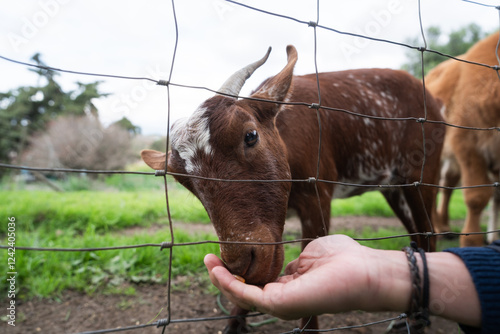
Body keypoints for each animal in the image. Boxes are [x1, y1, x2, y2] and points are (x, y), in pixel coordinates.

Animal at [141, 46, 442, 332]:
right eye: (183, 181)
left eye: (250, 136)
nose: (242, 264)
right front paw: (235, 321)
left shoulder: (317, 195)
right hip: (393, 186)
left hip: (422, 173)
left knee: (428, 230)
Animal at [426, 31, 500, 247]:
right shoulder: (467, 144)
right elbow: (478, 195)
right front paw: (473, 241)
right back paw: (436, 228)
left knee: (447, 184)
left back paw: (444, 226)